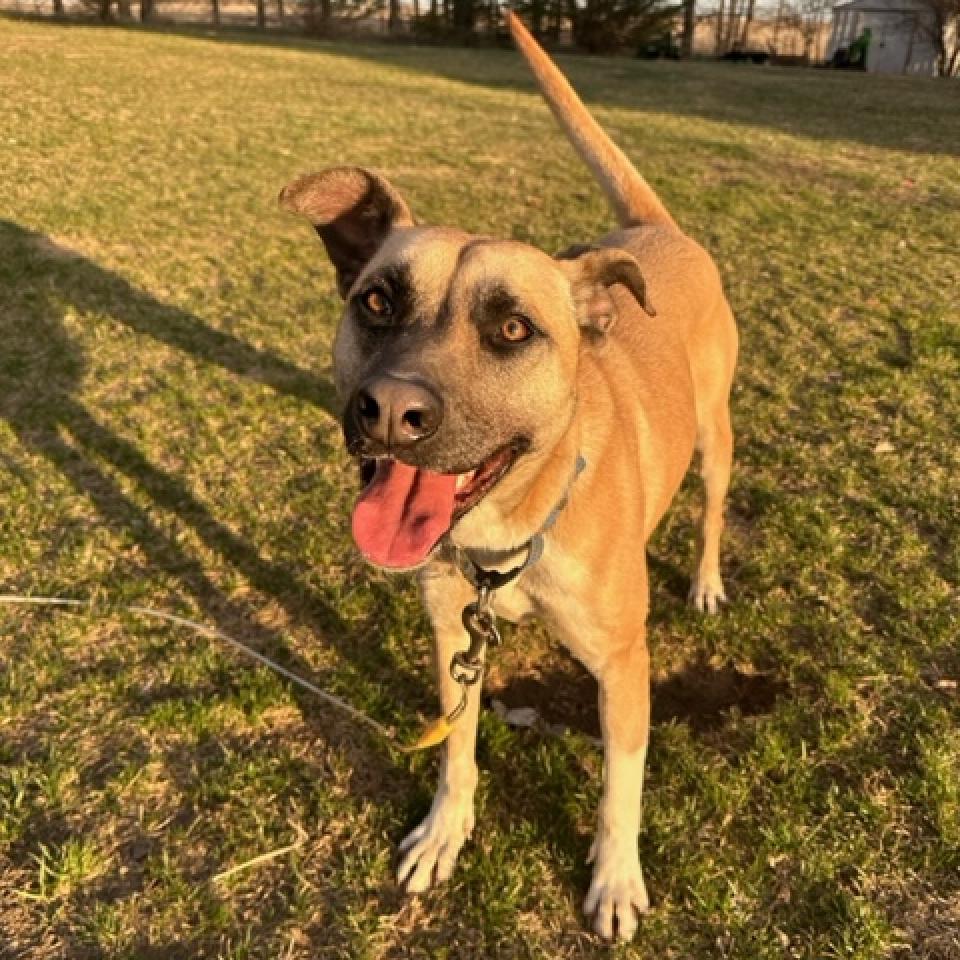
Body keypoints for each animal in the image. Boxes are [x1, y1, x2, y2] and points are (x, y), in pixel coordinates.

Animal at [278, 15, 736, 940]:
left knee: (711, 511)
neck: (515, 527)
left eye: (515, 328)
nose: (391, 411)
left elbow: (620, 787)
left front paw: (616, 880)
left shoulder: (624, 669)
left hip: (715, 438)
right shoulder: (453, 639)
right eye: (376, 301)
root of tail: (661, 229)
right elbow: (456, 747)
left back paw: (705, 580)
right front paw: (443, 832)